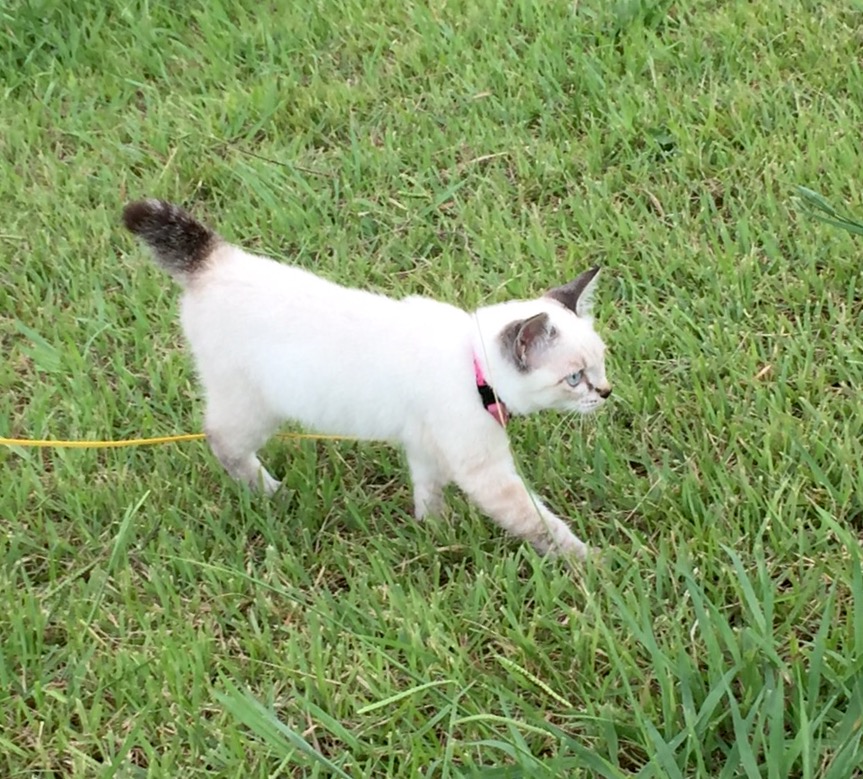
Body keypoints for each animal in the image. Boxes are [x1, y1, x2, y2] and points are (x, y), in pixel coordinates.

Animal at [123, 199, 612, 558]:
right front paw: (594, 564)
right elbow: (541, 523)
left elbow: (428, 494)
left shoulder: (426, 448)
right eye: (575, 378)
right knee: (220, 440)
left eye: (602, 366)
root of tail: (214, 260)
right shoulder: (485, 470)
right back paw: (272, 492)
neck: (472, 363)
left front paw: (437, 535)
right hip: (253, 408)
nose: (606, 393)